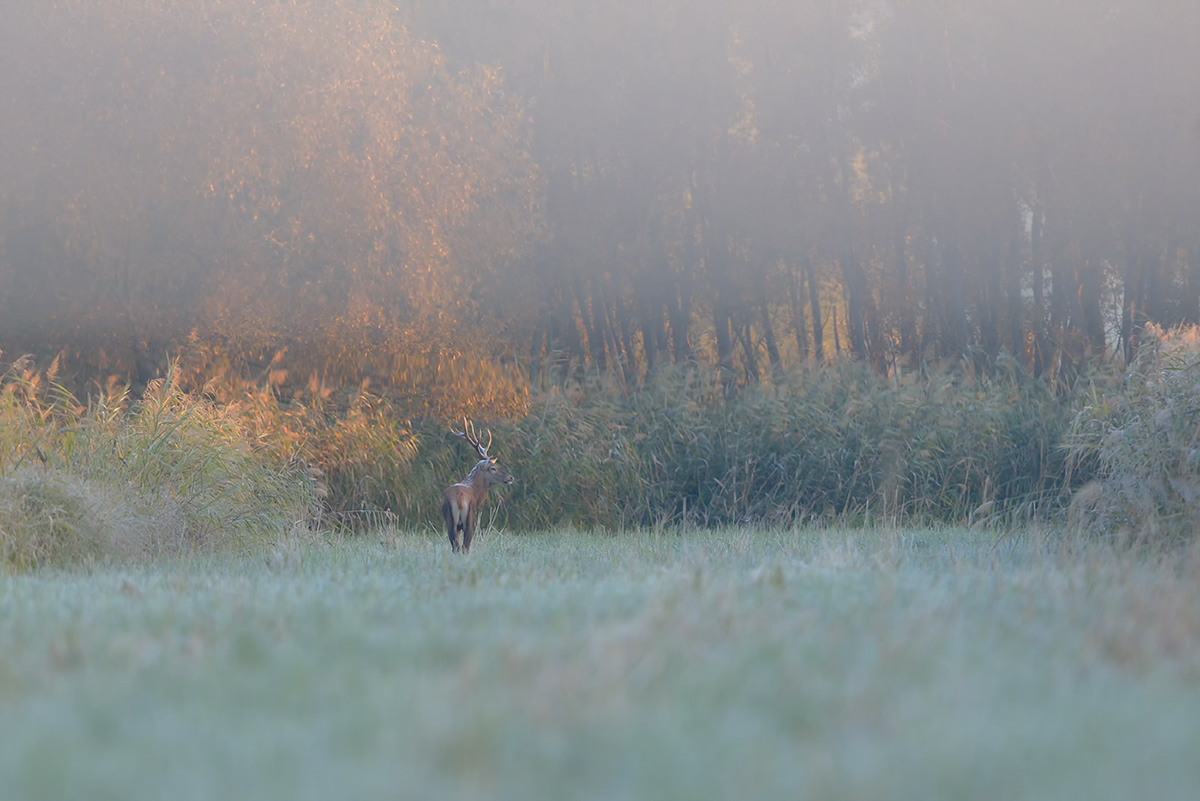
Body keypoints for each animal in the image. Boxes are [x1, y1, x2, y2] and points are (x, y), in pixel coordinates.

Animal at [444, 417, 513, 553]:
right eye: (493, 468)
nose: (510, 477)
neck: (476, 492)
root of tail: (459, 498)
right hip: (470, 517)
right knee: (465, 546)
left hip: (450, 521)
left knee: (456, 547)